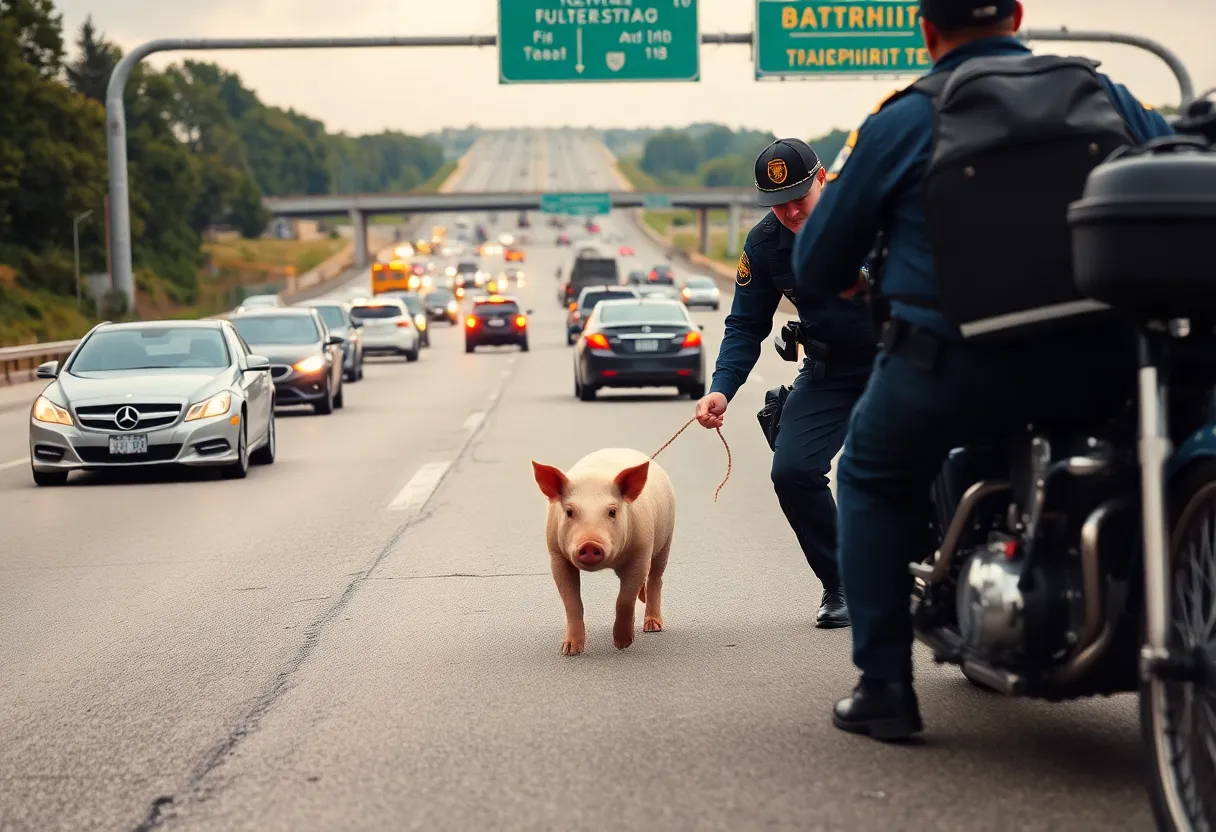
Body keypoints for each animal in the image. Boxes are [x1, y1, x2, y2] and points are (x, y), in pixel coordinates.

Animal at [531, 448, 676, 655]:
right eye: (569, 512)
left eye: (612, 512)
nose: (590, 544)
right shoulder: (556, 554)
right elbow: (571, 601)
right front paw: (569, 650)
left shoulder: (641, 551)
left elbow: (625, 599)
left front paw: (623, 644)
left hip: (667, 538)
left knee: (656, 578)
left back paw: (653, 627)